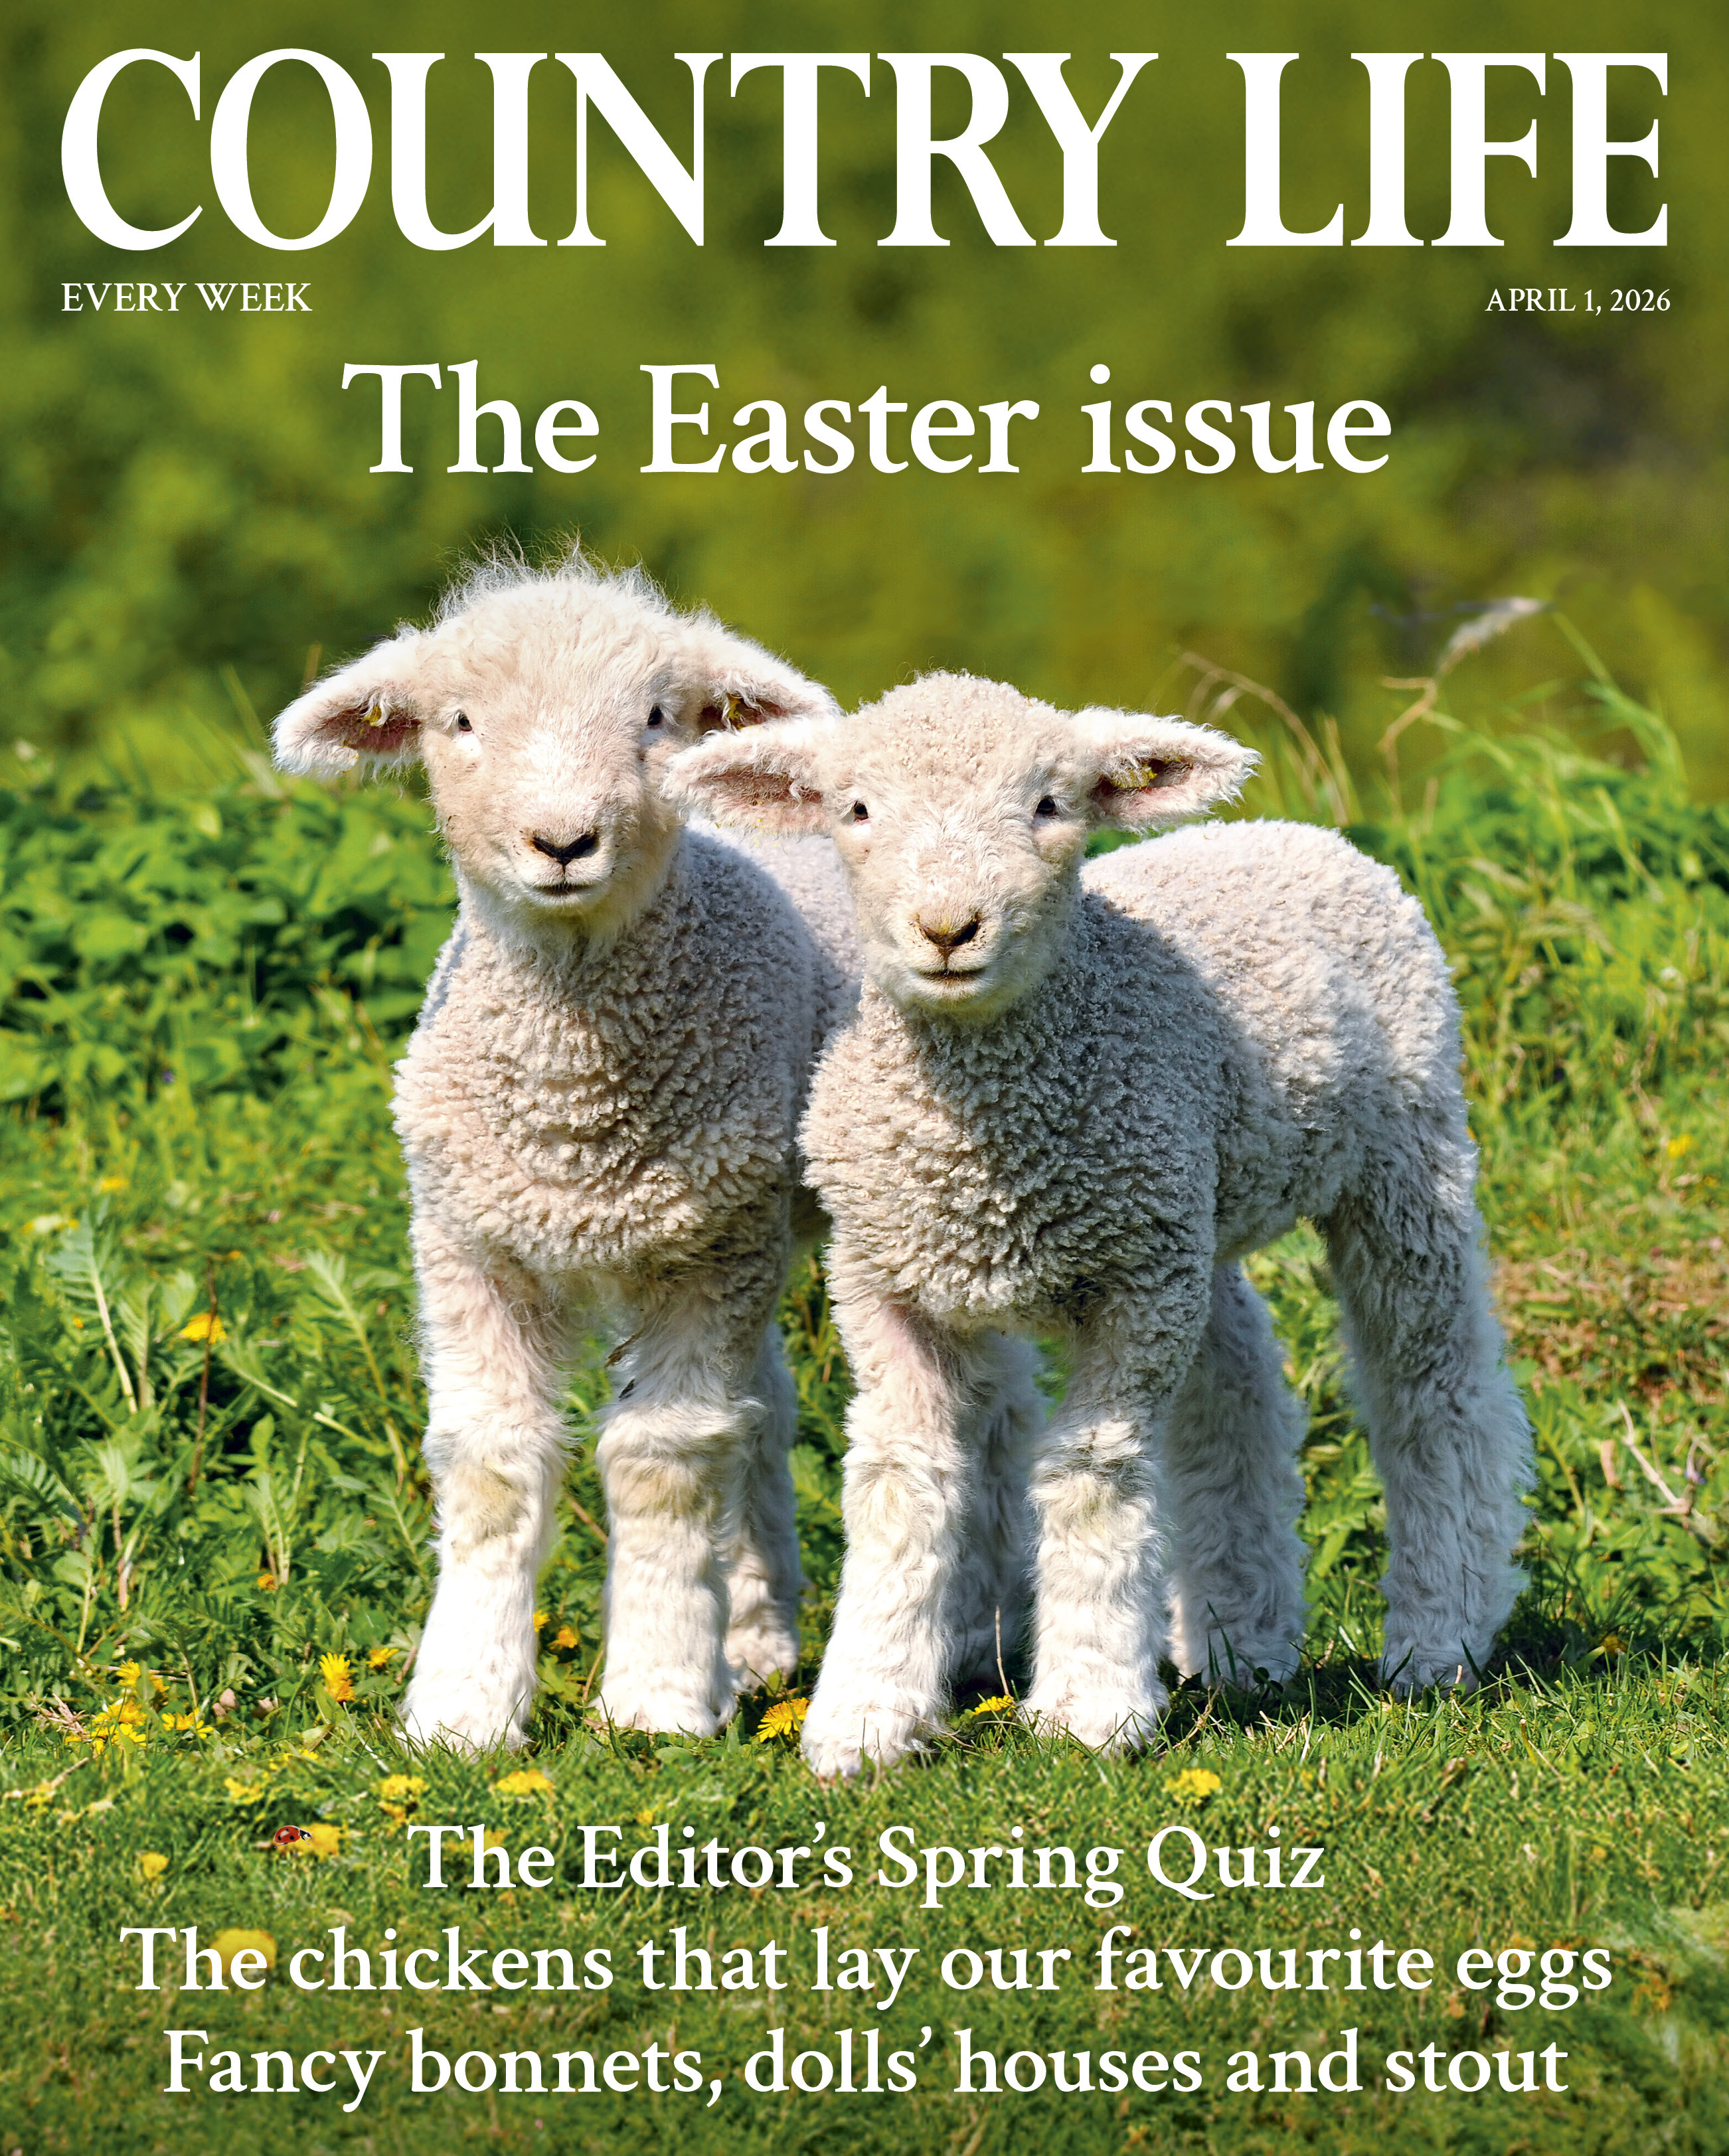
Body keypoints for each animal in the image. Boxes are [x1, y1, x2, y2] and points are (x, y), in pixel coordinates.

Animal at [271, 552, 855, 1750]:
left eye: (657, 717)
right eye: (458, 721)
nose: (562, 842)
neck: (573, 1114)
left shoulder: (700, 1255)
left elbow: (662, 1461)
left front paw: (659, 1699)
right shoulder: (469, 1246)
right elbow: (492, 1465)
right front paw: (461, 1708)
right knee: (766, 1405)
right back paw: (755, 1630)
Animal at [668, 672, 1533, 1777]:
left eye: (1050, 804)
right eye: (855, 810)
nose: (949, 928)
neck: (986, 1145)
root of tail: (1300, 834)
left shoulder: (1133, 1286)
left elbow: (1090, 1476)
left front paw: (1088, 1709)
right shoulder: (886, 1283)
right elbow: (902, 1484)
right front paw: (866, 1716)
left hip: (1403, 1155)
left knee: (1434, 1388)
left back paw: (1440, 1637)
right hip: (1196, 1205)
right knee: (1237, 1382)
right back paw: (1242, 1644)